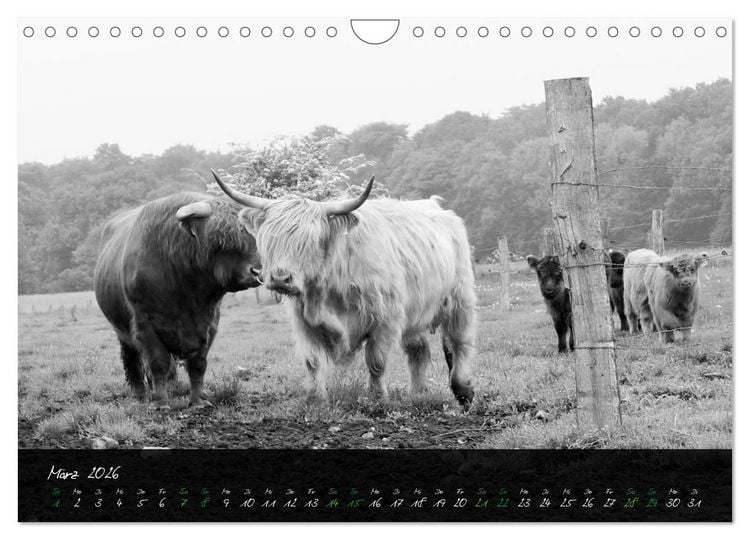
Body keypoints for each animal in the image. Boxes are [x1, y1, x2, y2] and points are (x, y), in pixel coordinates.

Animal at [94, 192, 262, 410]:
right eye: (219, 240)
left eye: (252, 235)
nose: (257, 271)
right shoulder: (145, 324)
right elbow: (157, 363)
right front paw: (161, 403)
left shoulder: (209, 323)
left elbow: (198, 364)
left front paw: (198, 401)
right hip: (121, 330)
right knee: (133, 361)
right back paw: (142, 395)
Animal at [212, 171, 477, 405]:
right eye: (270, 239)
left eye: (311, 241)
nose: (280, 279)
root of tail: (436, 206)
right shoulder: (305, 322)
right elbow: (313, 362)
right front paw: (315, 399)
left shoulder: (385, 319)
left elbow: (376, 362)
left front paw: (378, 398)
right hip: (416, 310)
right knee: (419, 350)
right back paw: (418, 392)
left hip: (459, 298)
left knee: (460, 342)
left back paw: (463, 390)